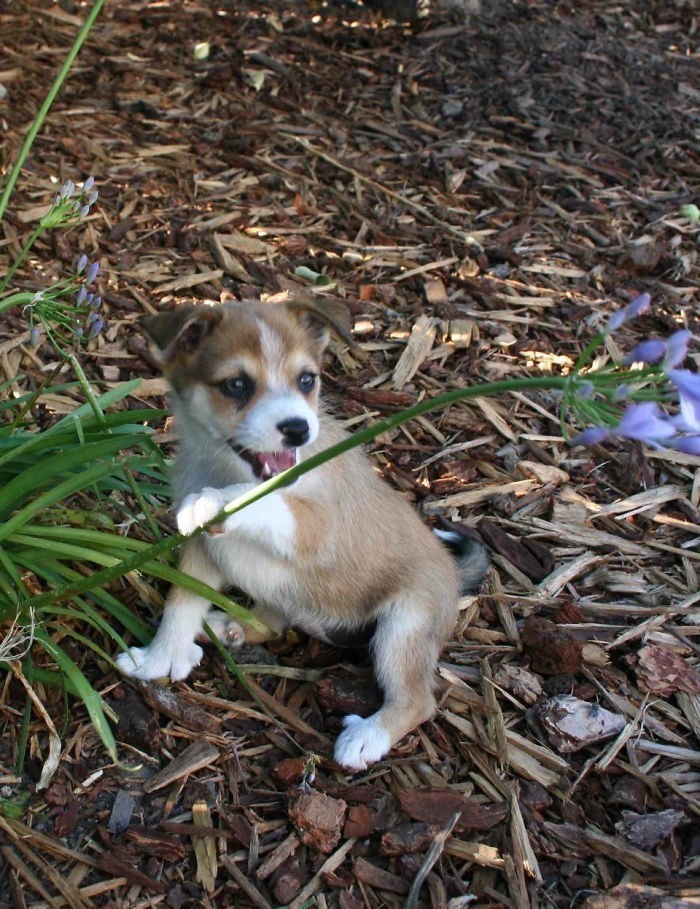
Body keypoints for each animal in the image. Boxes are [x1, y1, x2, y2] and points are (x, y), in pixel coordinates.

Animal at [116, 298, 486, 768]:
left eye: (306, 380)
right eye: (236, 385)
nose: (297, 428)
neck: (226, 467)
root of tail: (455, 577)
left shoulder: (316, 526)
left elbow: (265, 499)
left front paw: (214, 500)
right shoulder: (201, 550)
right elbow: (180, 605)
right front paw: (158, 659)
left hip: (404, 626)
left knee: (418, 700)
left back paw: (367, 736)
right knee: (276, 621)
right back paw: (228, 624)